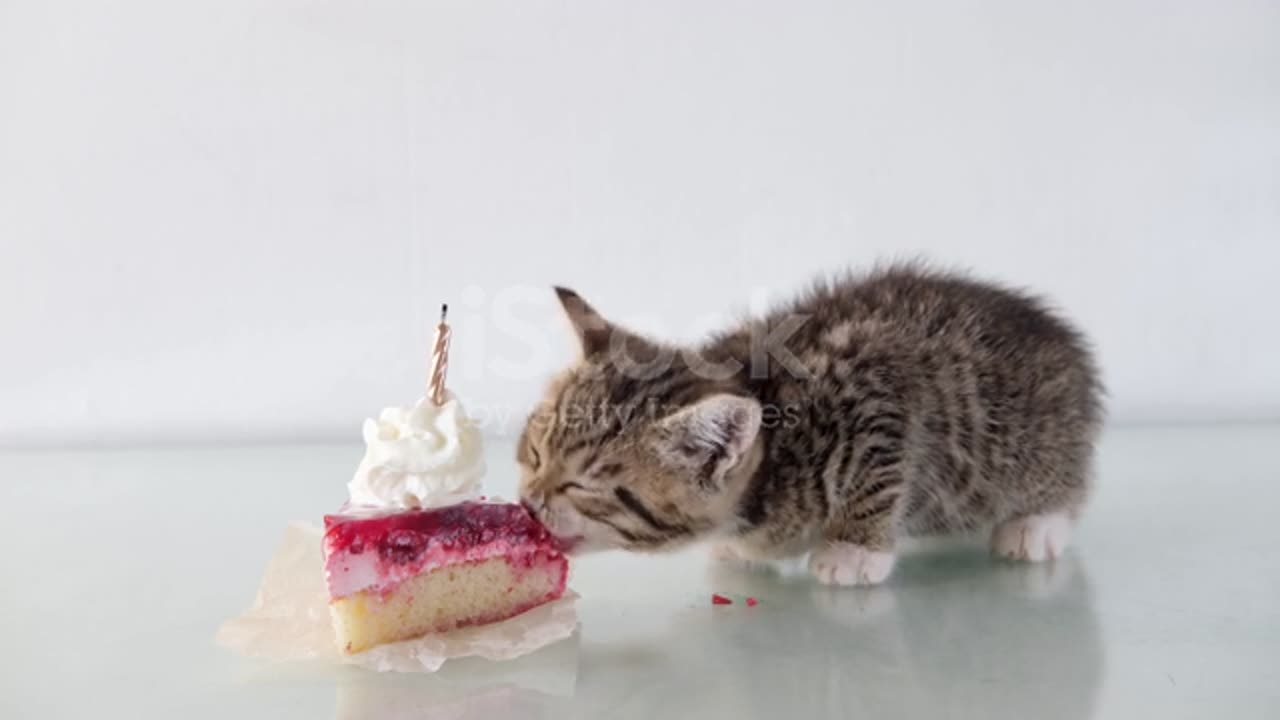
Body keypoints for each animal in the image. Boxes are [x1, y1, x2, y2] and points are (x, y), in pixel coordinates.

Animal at [517, 263, 1100, 584]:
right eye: (537, 453)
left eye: (583, 485)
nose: (529, 502)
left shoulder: (878, 393)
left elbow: (876, 474)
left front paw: (854, 550)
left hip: (1032, 439)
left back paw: (1036, 524)